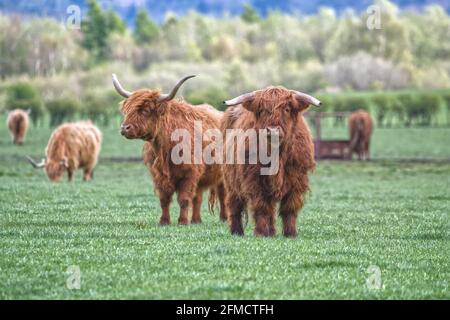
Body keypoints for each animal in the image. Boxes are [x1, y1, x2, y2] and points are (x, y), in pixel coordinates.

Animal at [111, 74, 227, 226]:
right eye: (127, 110)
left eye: (145, 110)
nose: (125, 128)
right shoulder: (159, 175)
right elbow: (164, 200)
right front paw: (164, 221)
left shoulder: (189, 174)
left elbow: (184, 199)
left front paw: (182, 221)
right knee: (198, 197)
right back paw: (196, 220)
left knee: (222, 194)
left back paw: (224, 218)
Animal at [221, 86, 320, 236]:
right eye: (262, 110)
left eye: (287, 109)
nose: (272, 131)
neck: (277, 155)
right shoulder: (254, 180)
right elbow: (261, 207)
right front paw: (261, 232)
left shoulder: (297, 179)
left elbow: (290, 208)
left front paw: (290, 233)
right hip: (231, 180)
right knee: (234, 204)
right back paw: (237, 231)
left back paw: (272, 232)